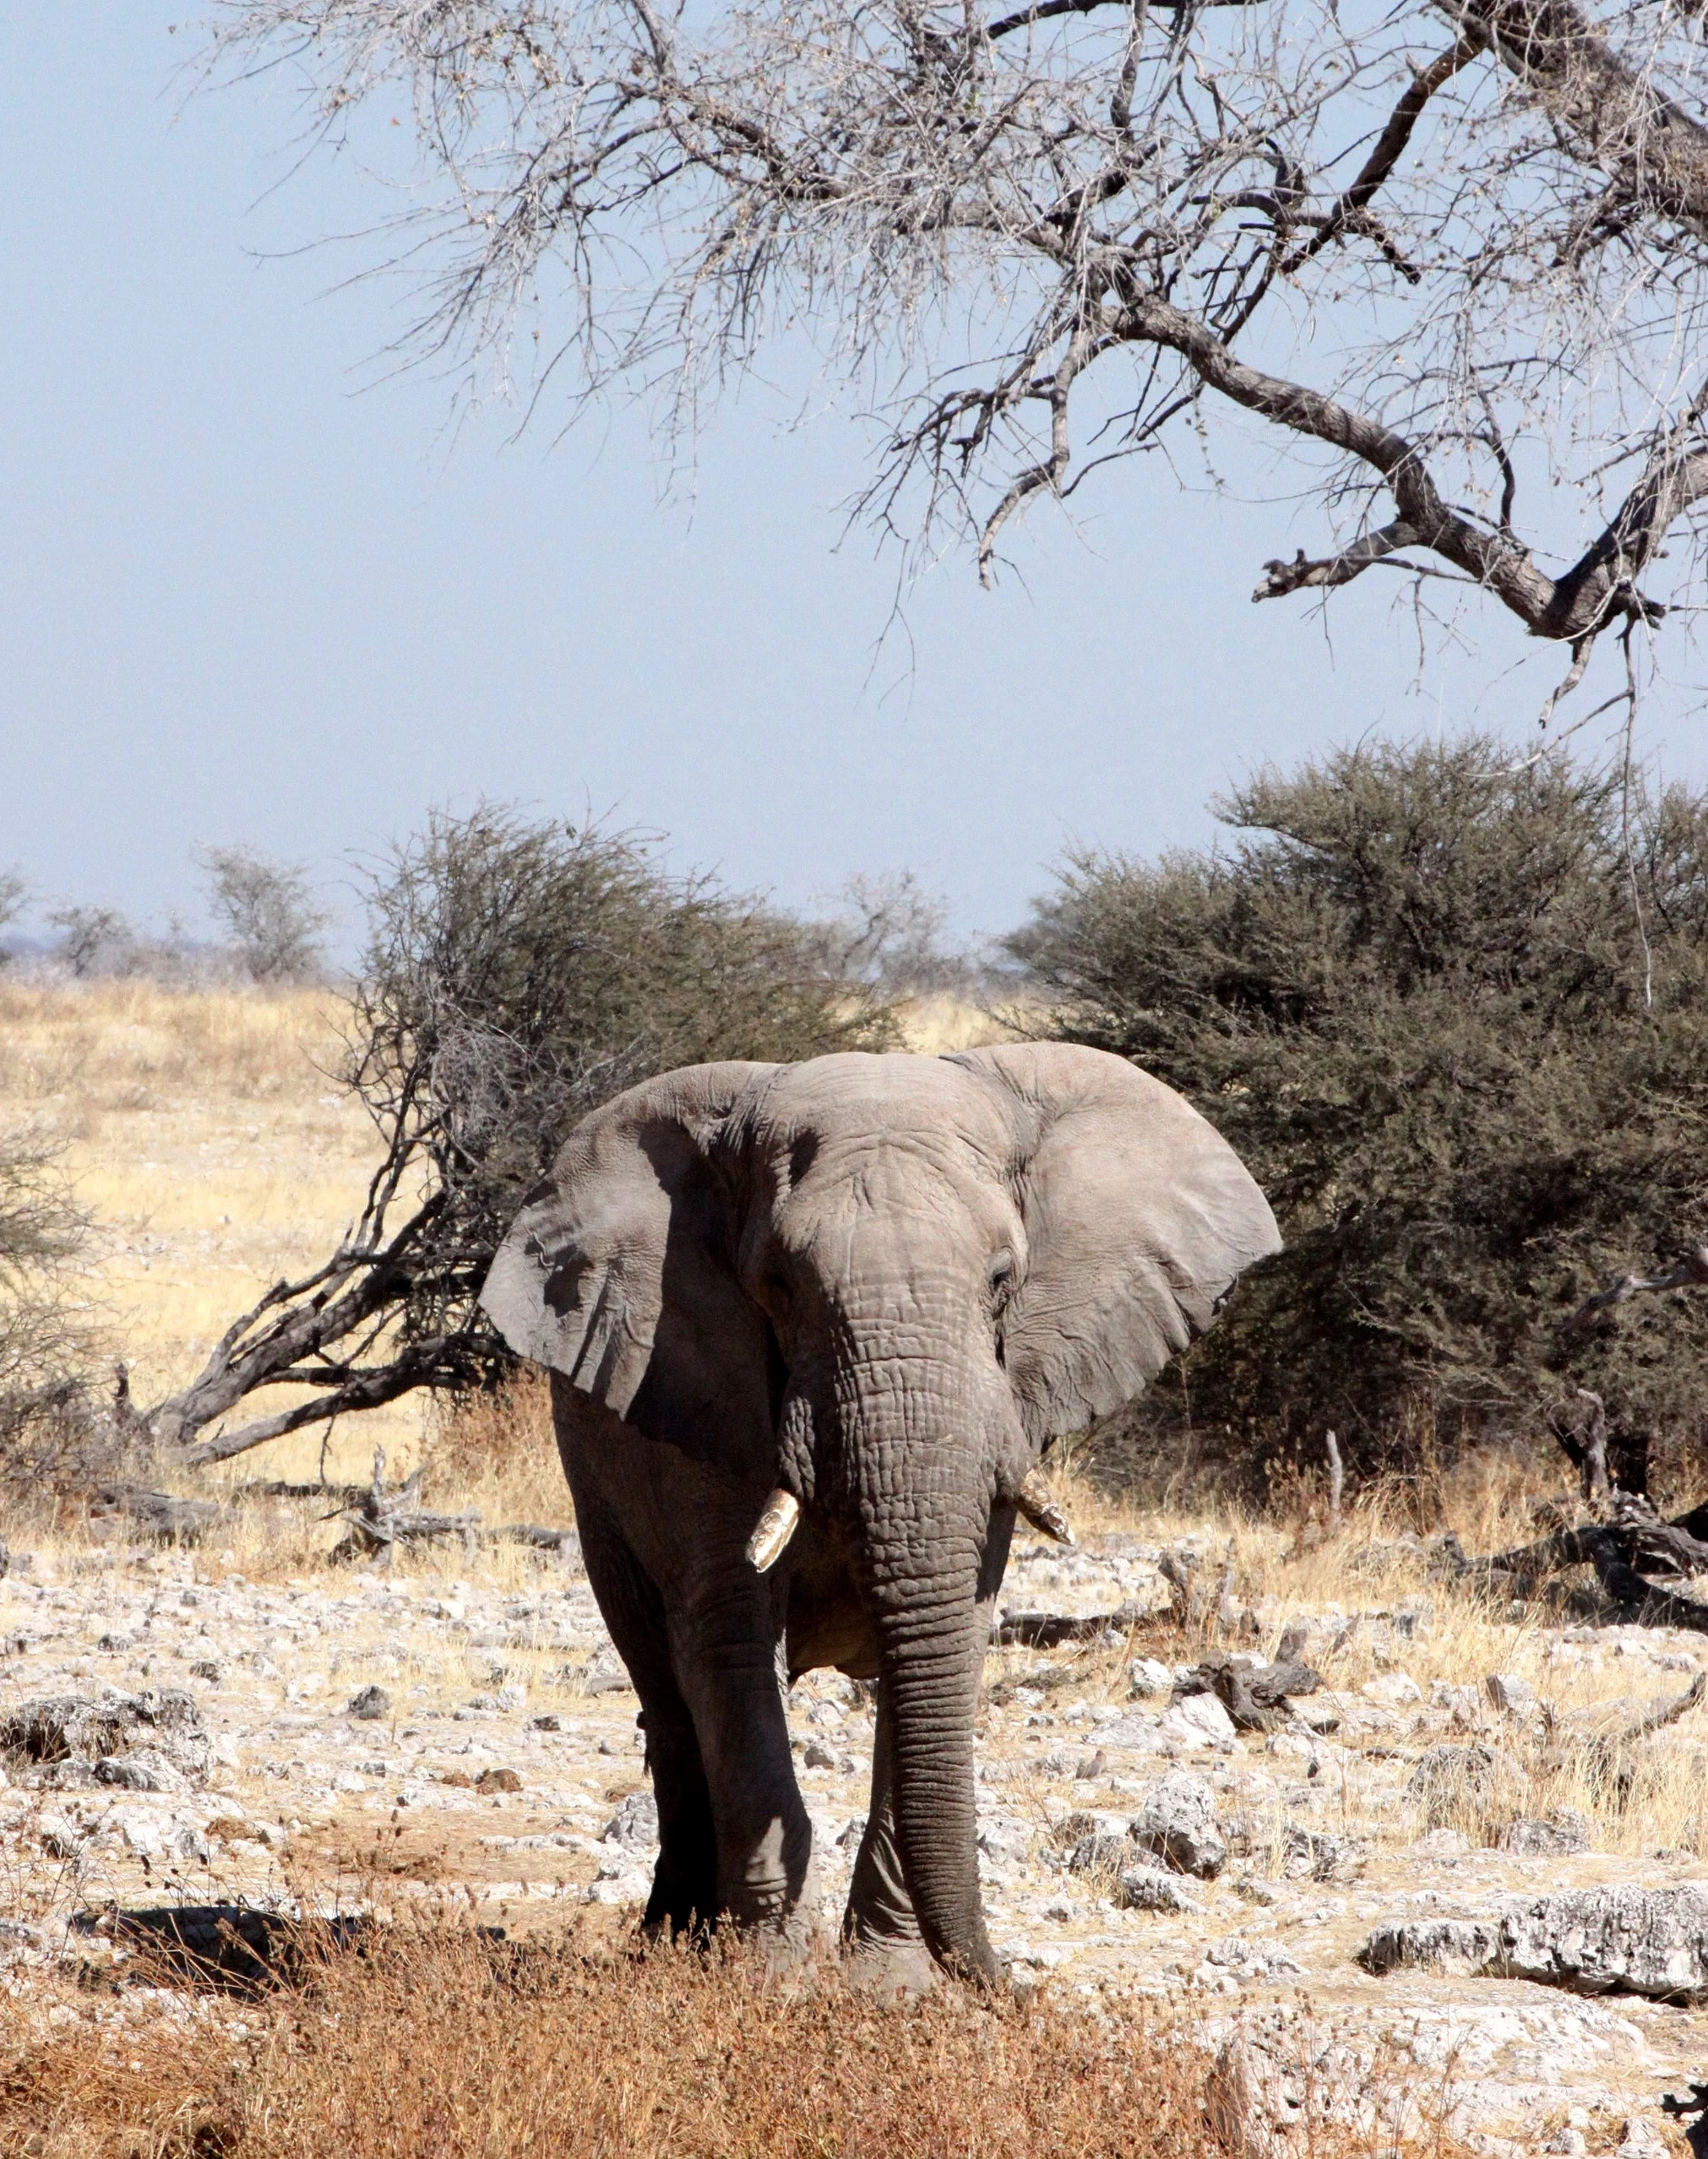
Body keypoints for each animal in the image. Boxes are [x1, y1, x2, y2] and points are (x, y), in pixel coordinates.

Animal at [479, 1042, 1279, 1984]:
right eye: (778, 1284)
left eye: (1003, 1280)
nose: (1005, 1986)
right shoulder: (696, 1384)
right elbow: (729, 1638)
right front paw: (770, 1981)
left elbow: (950, 1638)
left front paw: (890, 1990)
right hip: (596, 1491)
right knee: (667, 1693)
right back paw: (673, 1938)